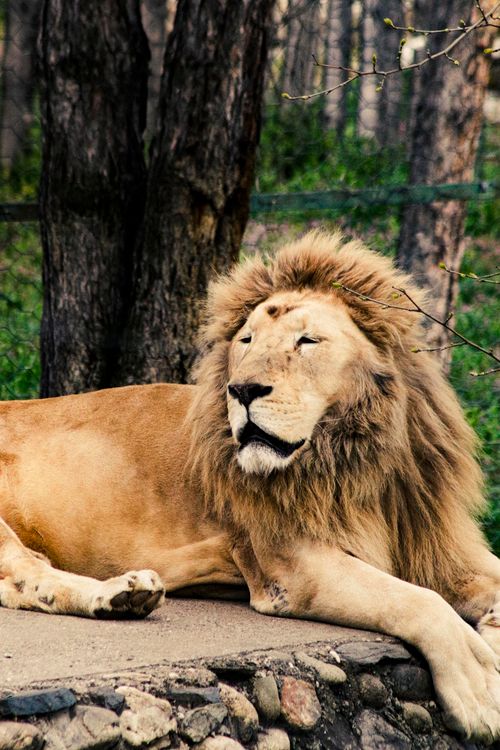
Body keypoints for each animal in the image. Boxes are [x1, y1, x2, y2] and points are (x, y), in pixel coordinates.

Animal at [0, 231, 499, 741]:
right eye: (247, 340)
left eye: (307, 340)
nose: (241, 390)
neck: (358, 462)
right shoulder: (293, 563)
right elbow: (419, 601)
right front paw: (480, 690)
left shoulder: (441, 547)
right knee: (27, 573)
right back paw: (122, 593)